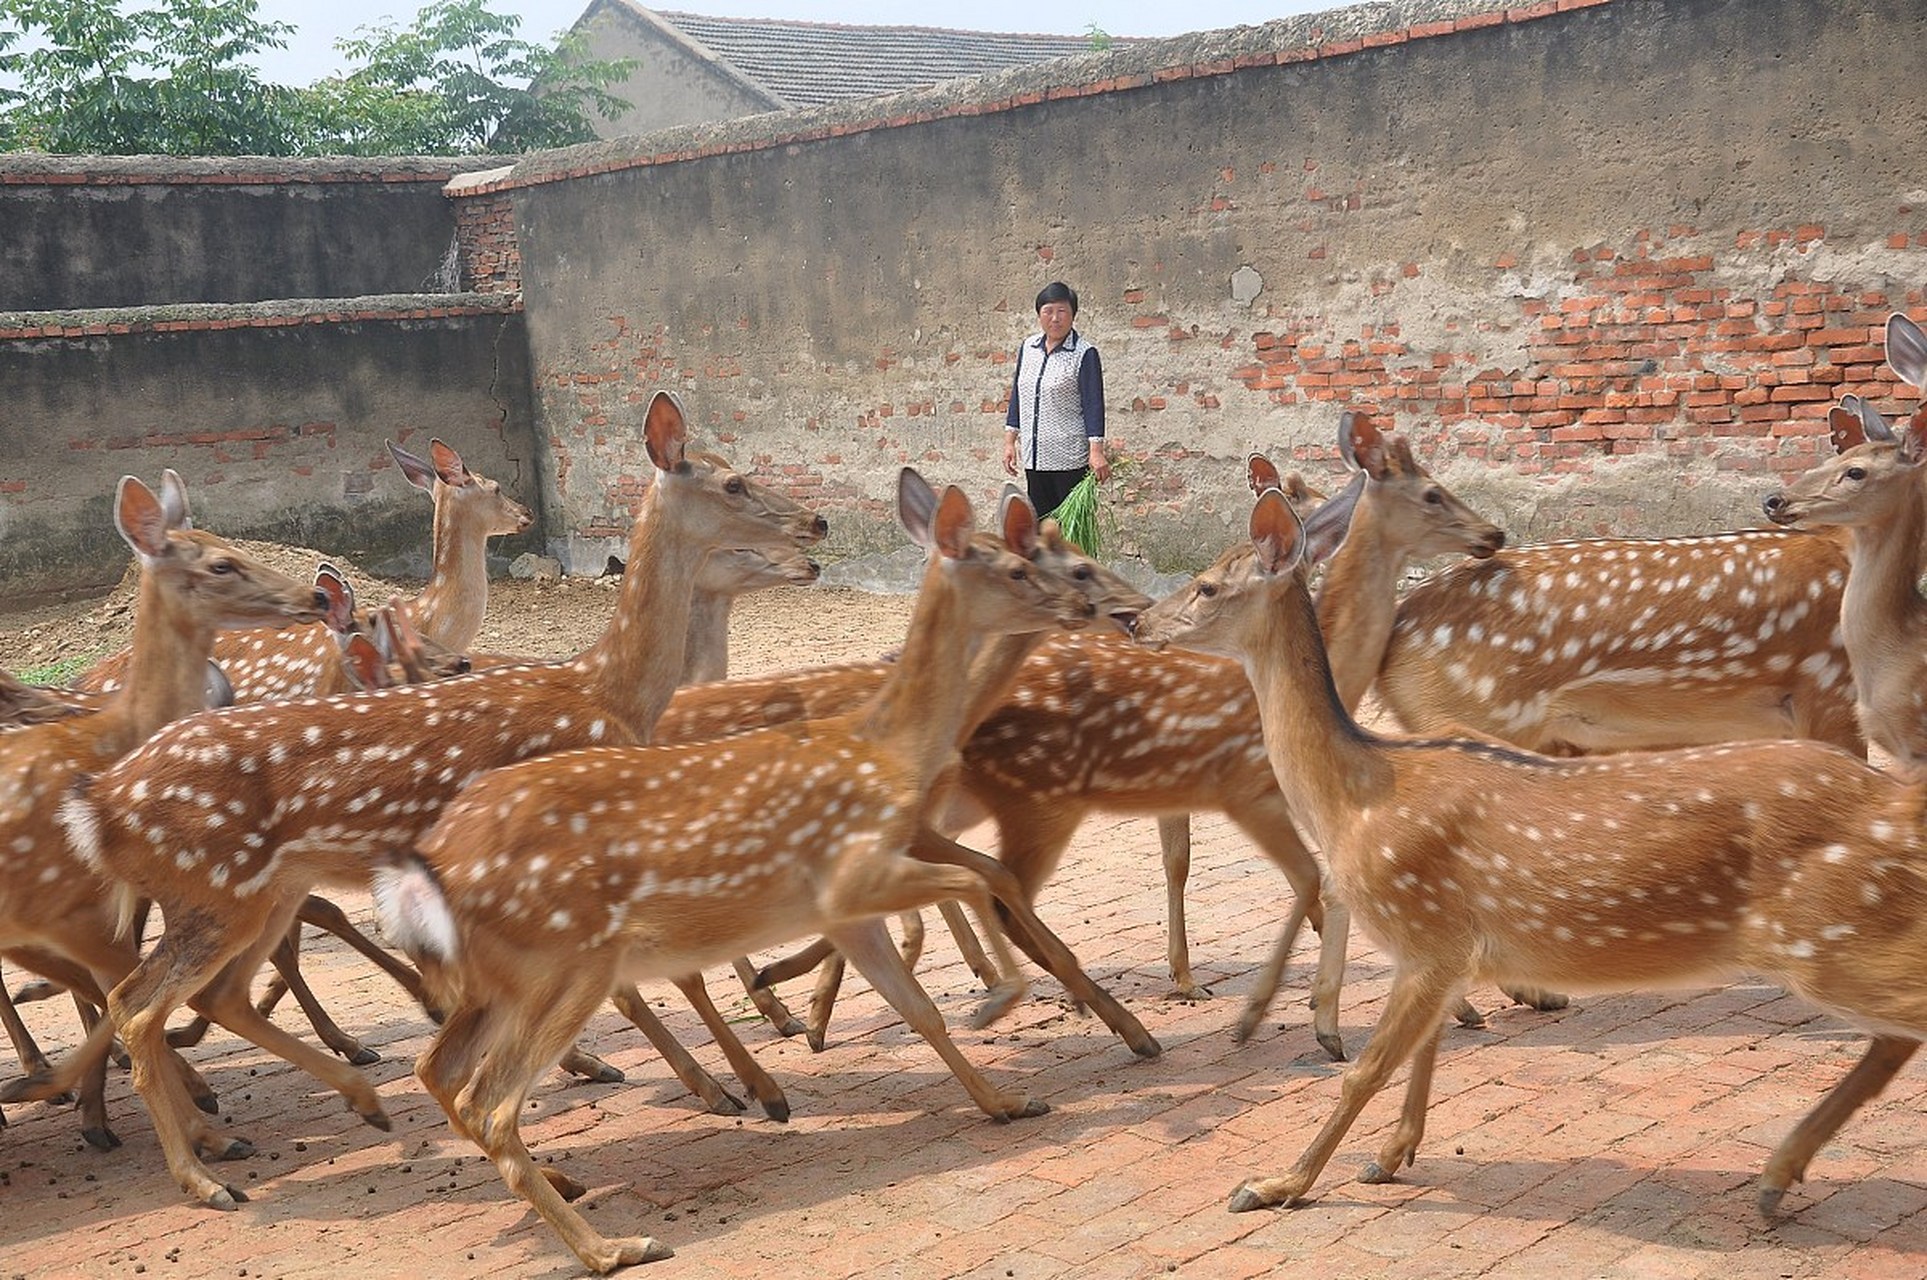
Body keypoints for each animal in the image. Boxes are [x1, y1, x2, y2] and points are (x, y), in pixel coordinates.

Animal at [0, 472, 331, 1148]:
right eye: (221, 564)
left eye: (230, 541)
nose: (314, 593)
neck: (110, 739)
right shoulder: (70, 910)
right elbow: (126, 997)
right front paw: (200, 1129)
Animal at [377, 474, 1156, 1272]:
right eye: (1024, 568)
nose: (1105, 611)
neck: (890, 752)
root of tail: (424, 873)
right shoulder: (855, 873)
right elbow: (973, 887)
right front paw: (998, 999)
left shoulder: (850, 910)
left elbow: (919, 1008)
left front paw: (1004, 1100)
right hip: (569, 960)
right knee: (492, 1100)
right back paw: (615, 1243)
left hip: (499, 981)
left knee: (440, 1072)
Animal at [1133, 481, 1919, 1218]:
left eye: (1206, 585)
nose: (1136, 620)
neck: (1358, 796)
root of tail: (1895, 805)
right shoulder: (1445, 949)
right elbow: (1422, 1051)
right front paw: (1389, 1155)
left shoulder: (1426, 930)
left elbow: (1368, 1069)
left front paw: (1276, 1183)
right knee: (1893, 1036)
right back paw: (1777, 1175)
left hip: (1825, 934)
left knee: (1900, 1024)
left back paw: (1779, 1173)